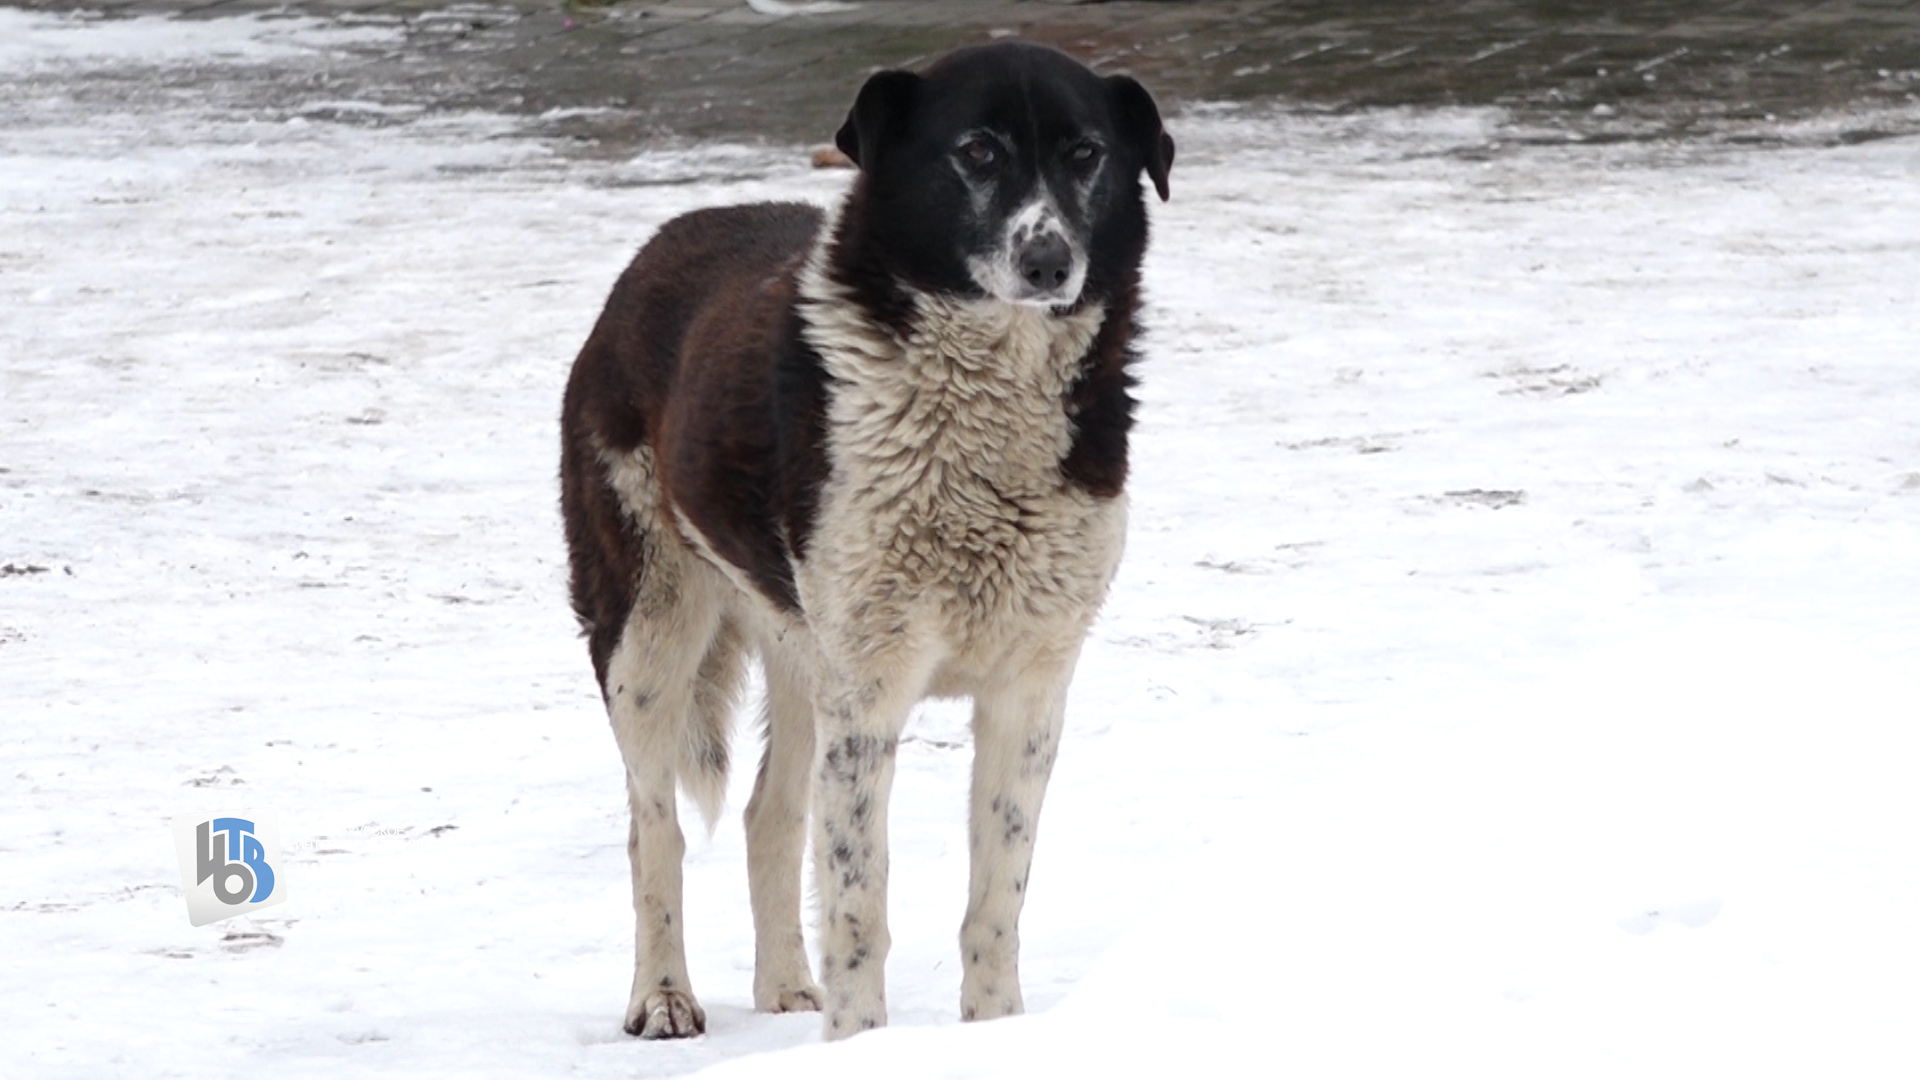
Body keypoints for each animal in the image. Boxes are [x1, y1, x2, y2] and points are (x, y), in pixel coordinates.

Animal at [560, 44, 1167, 1045]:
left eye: (1085, 153)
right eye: (977, 151)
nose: (1050, 262)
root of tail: (659, 248)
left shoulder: (1029, 690)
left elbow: (995, 900)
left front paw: (995, 1034)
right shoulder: (871, 695)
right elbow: (857, 904)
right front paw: (857, 1045)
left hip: (803, 653)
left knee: (769, 814)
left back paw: (783, 987)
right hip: (648, 636)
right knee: (656, 828)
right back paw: (664, 996)